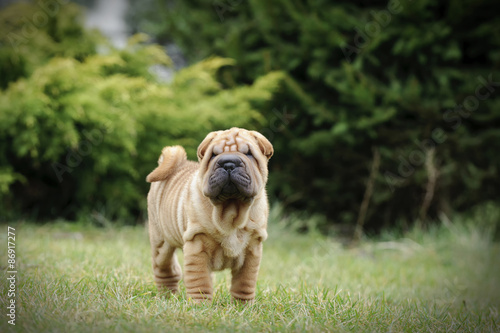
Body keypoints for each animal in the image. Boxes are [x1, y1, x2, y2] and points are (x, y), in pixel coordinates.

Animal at [145, 127, 274, 300]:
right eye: (213, 155)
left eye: (249, 154)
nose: (228, 163)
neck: (231, 211)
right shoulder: (197, 244)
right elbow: (200, 281)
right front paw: (200, 303)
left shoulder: (252, 249)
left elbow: (244, 283)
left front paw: (242, 304)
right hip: (161, 242)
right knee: (166, 270)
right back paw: (167, 297)